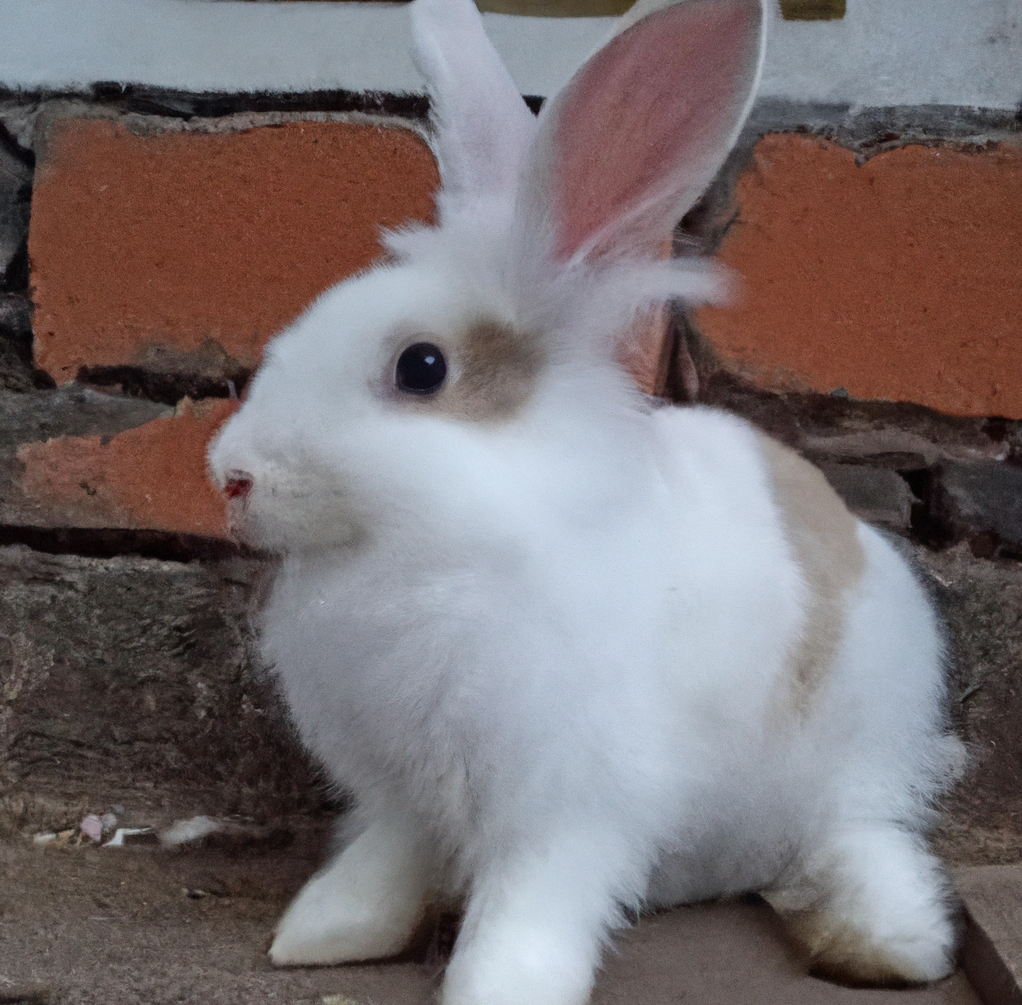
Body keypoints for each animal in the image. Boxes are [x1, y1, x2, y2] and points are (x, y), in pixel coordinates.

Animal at [205, 0, 964, 1001]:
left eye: (421, 367)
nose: (230, 474)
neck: (427, 553)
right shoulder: (401, 793)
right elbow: (387, 863)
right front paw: (326, 933)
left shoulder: (567, 793)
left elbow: (531, 897)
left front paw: (499, 985)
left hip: (860, 750)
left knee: (860, 835)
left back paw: (886, 942)